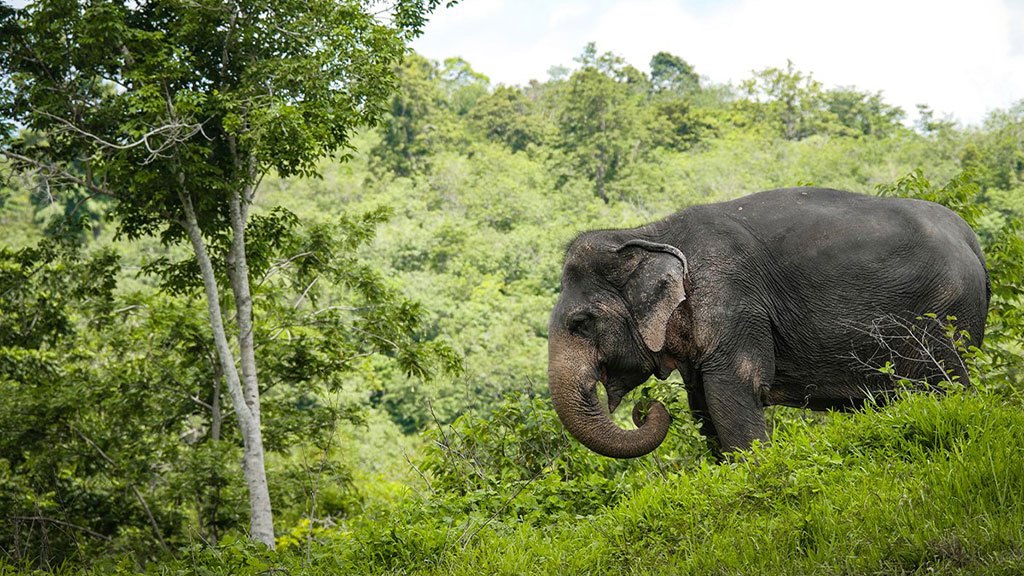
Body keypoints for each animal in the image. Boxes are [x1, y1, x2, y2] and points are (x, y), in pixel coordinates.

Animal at [547, 187, 990, 458]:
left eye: (581, 322)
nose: (644, 410)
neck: (649, 232)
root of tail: (972, 240)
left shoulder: (733, 299)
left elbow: (733, 391)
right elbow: (701, 403)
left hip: (943, 314)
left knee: (944, 384)